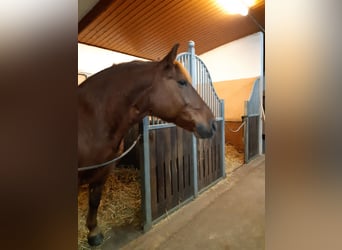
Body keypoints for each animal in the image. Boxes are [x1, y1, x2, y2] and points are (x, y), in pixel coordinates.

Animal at [79, 43, 215, 246]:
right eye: (182, 82)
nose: (213, 123)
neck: (91, 120)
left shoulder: (103, 171)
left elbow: (95, 200)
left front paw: (94, 233)